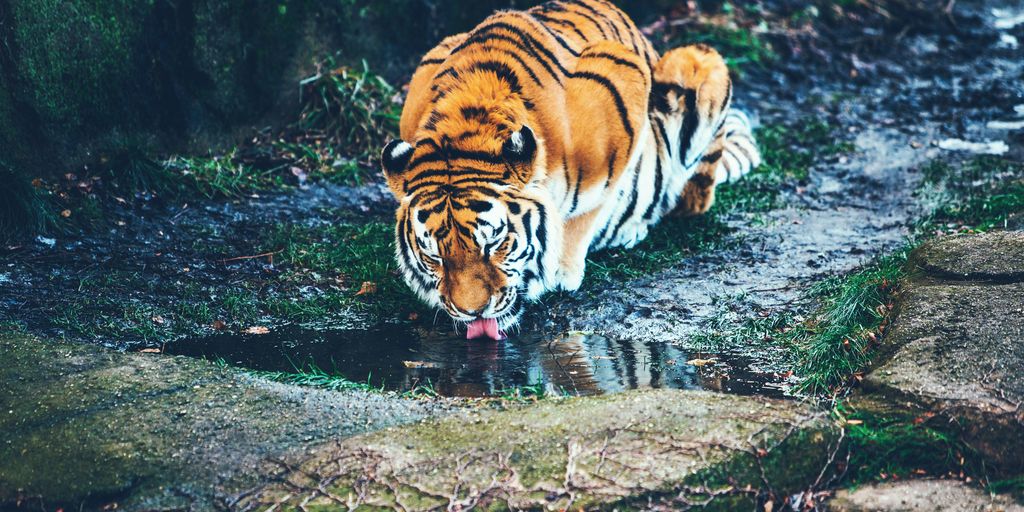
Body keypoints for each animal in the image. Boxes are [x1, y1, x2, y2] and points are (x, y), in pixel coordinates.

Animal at [378, 1, 761, 339]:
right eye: (434, 255)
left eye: (495, 243)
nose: (473, 312)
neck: (467, 123)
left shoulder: (624, 84)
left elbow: (589, 208)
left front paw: (561, 270)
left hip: (695, 61)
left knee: (690, 198)